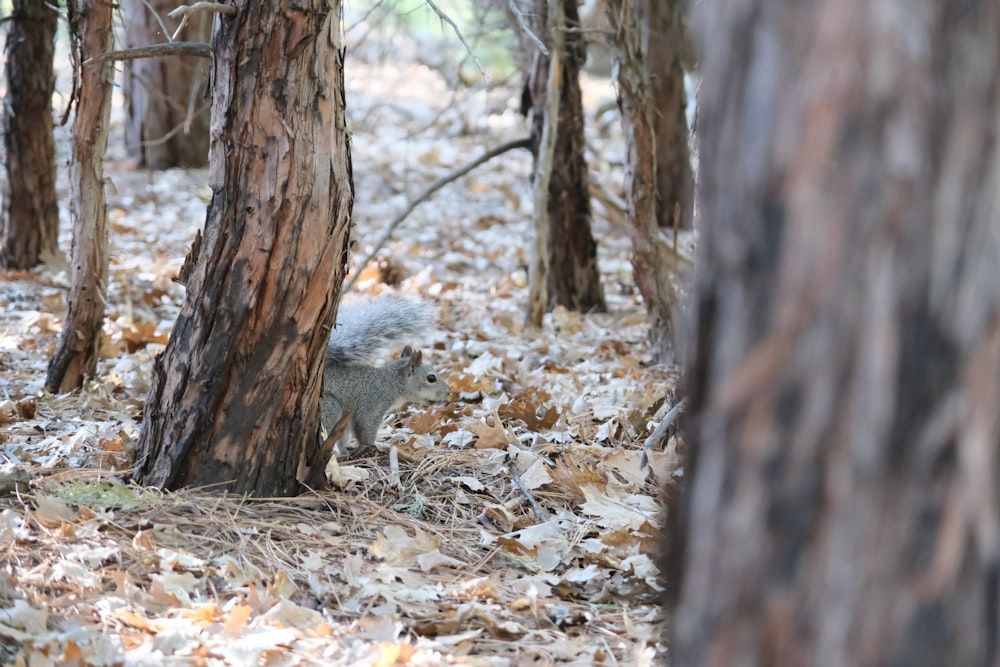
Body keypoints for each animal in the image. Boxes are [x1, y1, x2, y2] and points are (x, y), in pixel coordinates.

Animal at [320, 294, 450, 456]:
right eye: (431, 378)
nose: (448, 392)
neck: (391, 382)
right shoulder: (371, 406)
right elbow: (366, 428)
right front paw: (370, 446)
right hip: (329, 407)